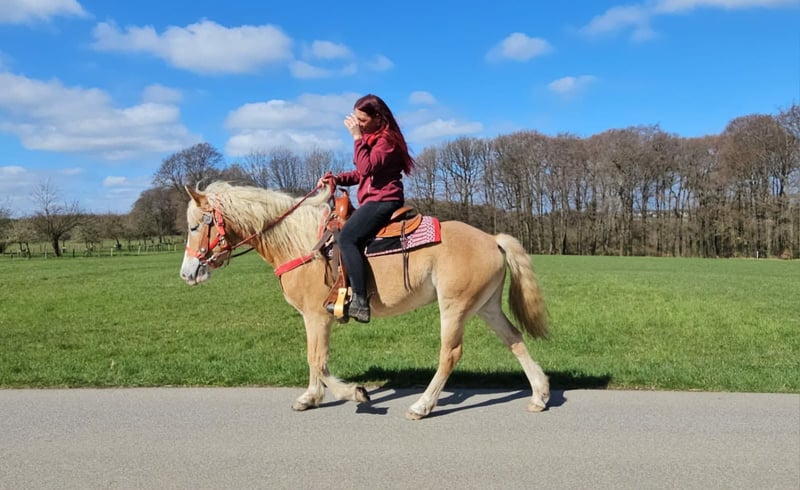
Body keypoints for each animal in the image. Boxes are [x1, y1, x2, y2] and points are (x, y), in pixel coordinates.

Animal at [179, 181, 550, 420]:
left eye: (196, 226)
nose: (186, 273)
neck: (301, 243)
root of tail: (492, 238)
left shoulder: (317, 316)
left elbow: (317, 360)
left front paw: (353, 393)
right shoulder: (313, 319)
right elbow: (314, 358)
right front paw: (311, 397)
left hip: (455, 307)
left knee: (450, 354)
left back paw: (422, 406)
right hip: (486, 307)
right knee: (515, 340)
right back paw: (540, 394)